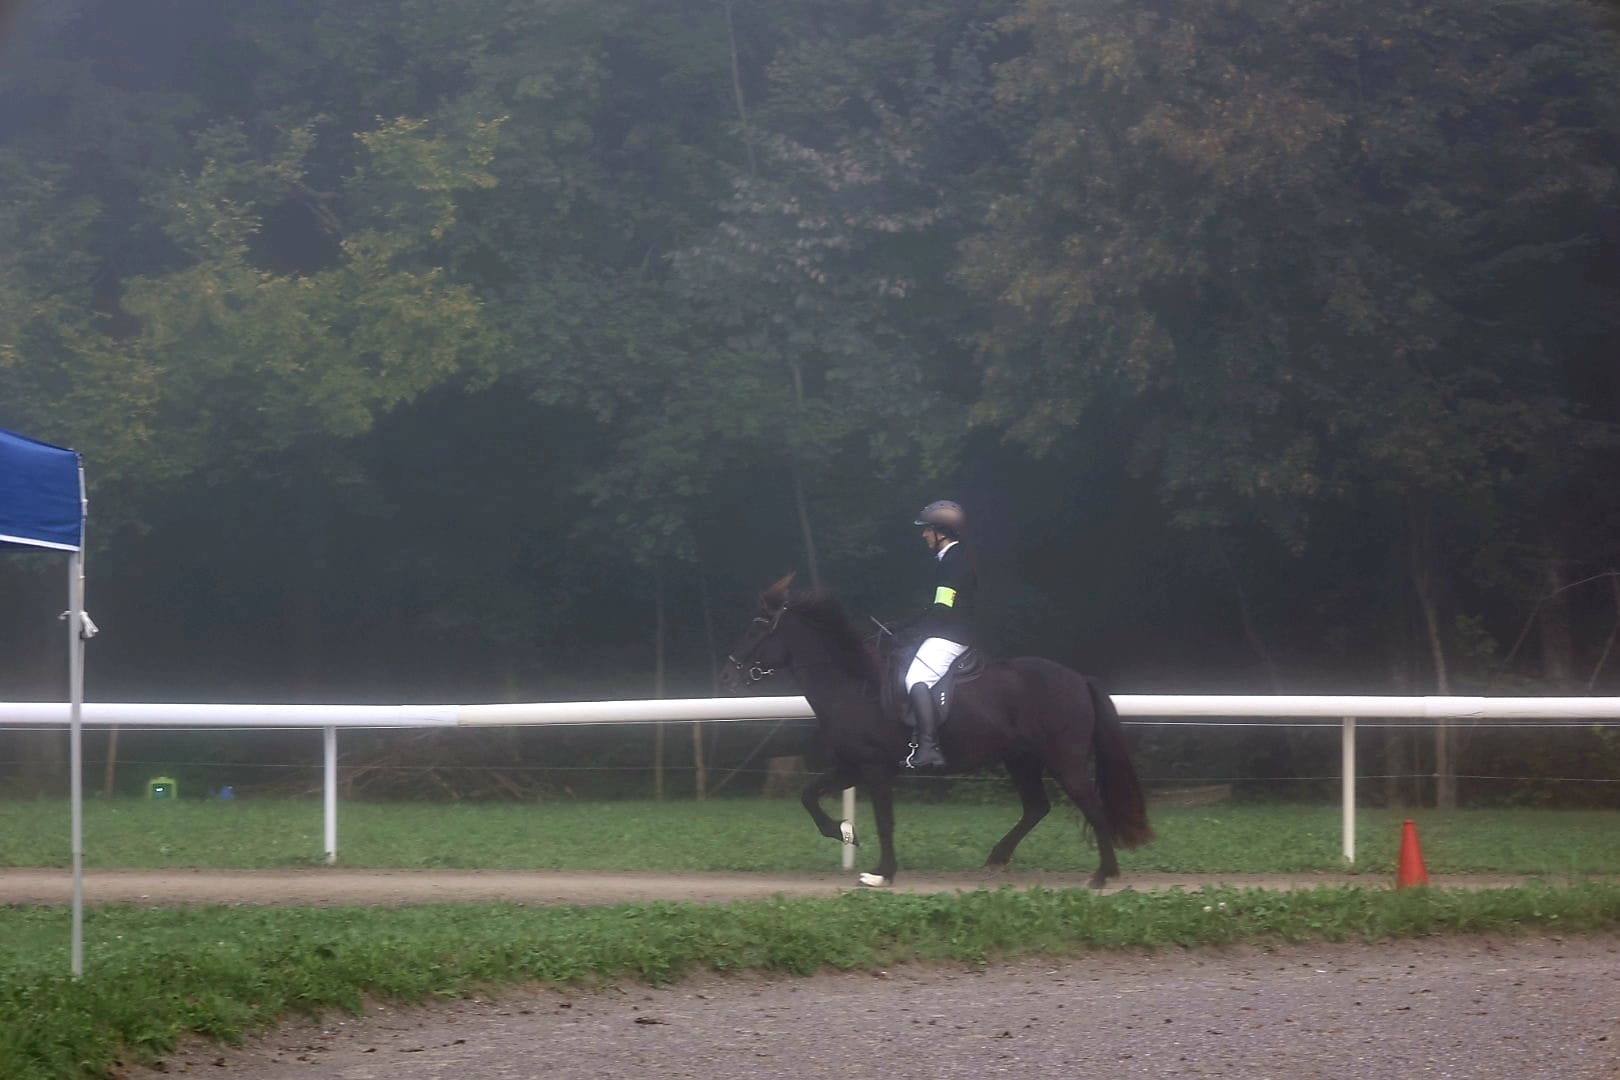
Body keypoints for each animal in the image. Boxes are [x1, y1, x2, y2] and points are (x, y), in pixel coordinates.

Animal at [719, 573, 1154, 889]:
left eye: (757, 630)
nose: (729, 676)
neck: (854, 685)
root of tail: (1078, 679)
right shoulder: (852, 767)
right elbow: (809, 795)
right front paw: (844, 832)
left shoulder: (874, 768)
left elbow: (884, 820)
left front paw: (882, 872)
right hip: (1021, 760)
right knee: (1036, 807)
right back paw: (998, 858)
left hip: (1065, 760)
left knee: (1090, 805)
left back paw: (1103, 875)